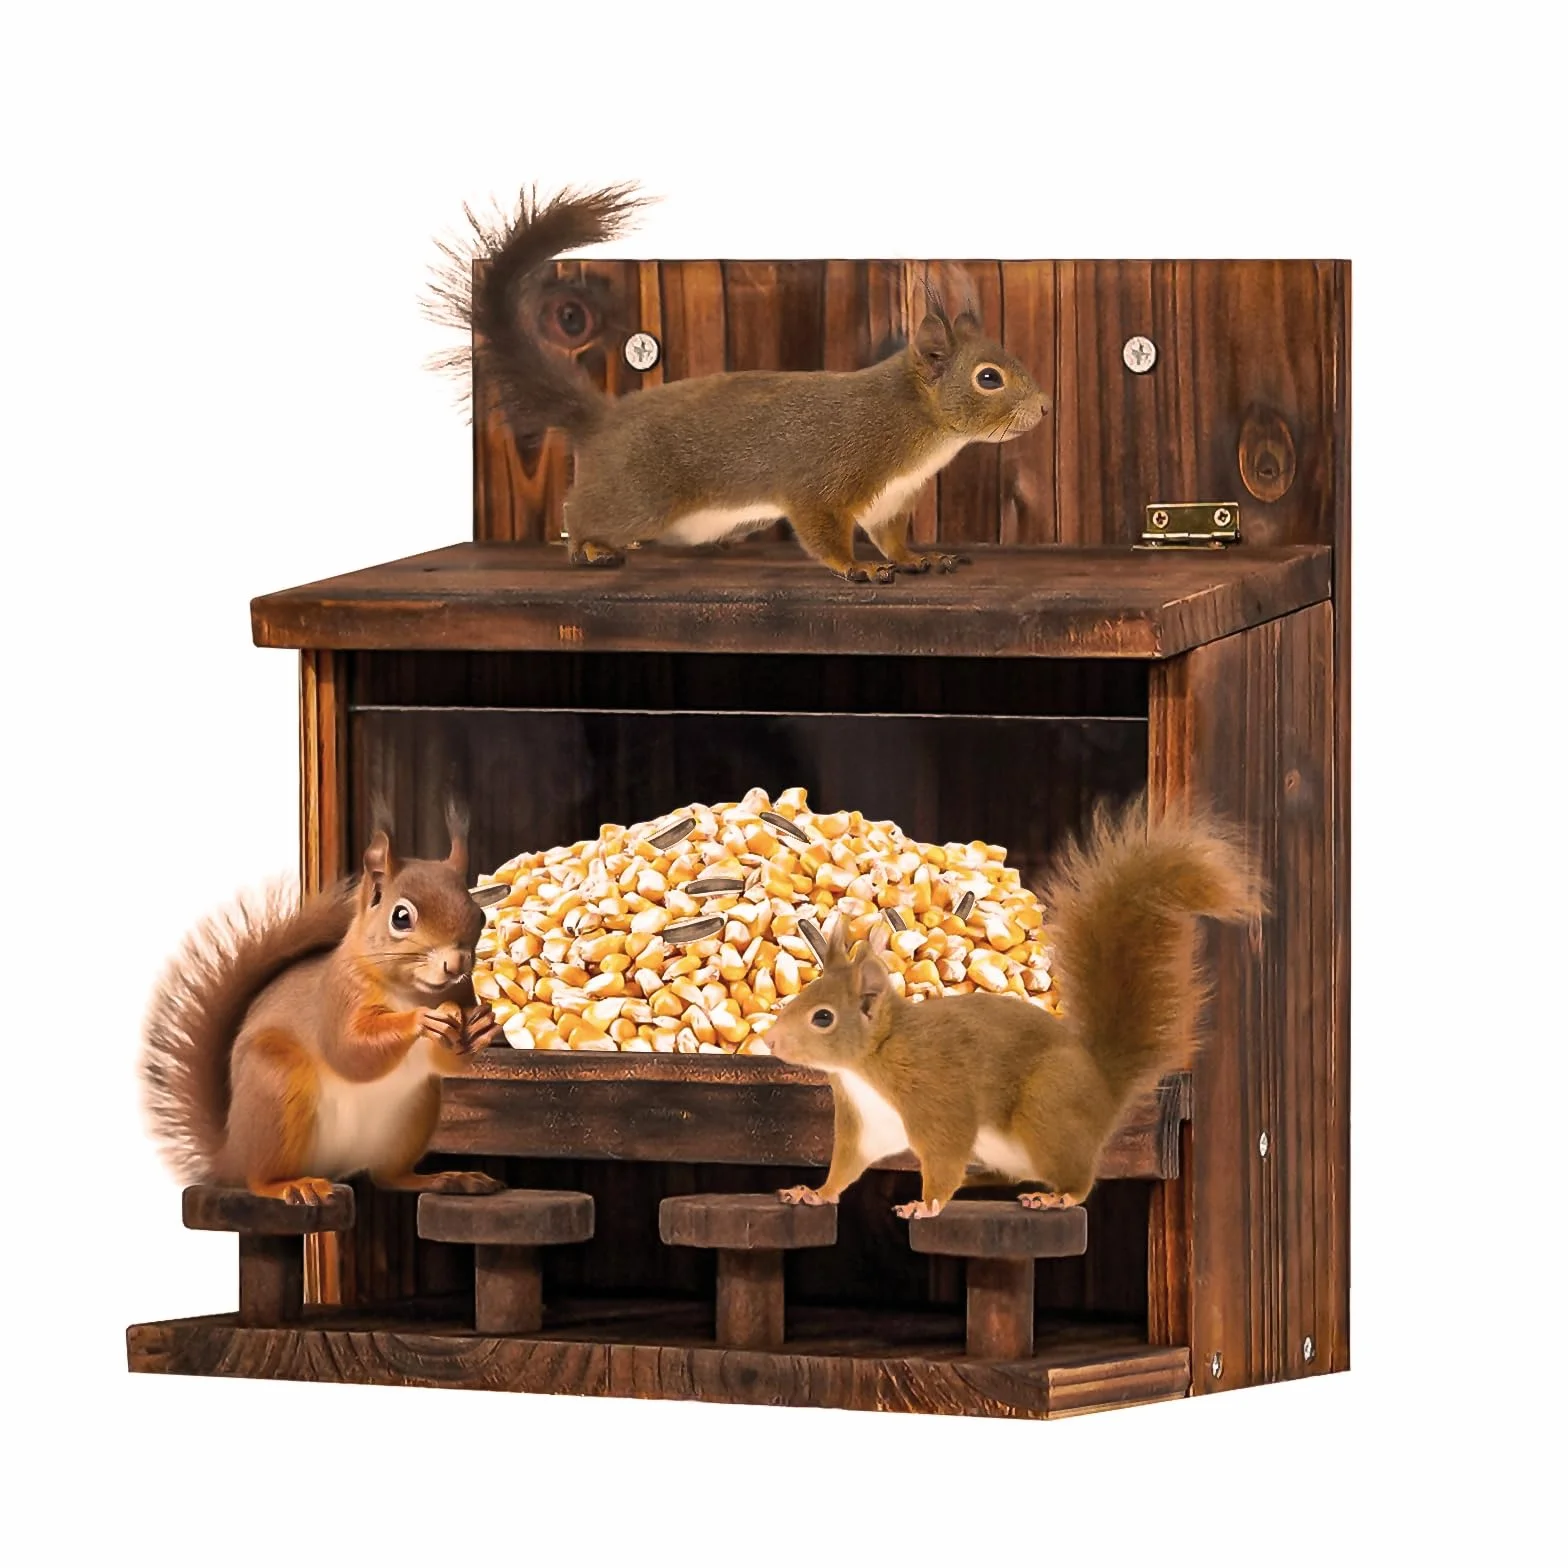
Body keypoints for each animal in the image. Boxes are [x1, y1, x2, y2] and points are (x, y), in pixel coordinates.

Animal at [141, 807, 509, 1205]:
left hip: (415, 1112)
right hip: (275, 1086)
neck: (413, 991)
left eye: (480, 916)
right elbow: (349, 1051)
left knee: (388, 1177)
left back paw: (446, 1178)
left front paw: (483, 1025)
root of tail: (231, 1154)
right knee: (259, 1177)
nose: (455, 965)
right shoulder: (337, 998)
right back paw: (290, 1184)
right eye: (400, 917)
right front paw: (421, 1020)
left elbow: (447, 1062)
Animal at [424, 183, 1050, 583]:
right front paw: (859, 567)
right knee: (578, 511)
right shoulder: (825, 479)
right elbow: (823, 532)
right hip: (637, 496)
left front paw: (920, 558)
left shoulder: (890, 501)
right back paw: (588, 547)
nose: (1045, 408)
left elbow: (891, 535)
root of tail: (602, 421)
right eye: (988, 377)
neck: (915, 425)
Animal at [770, 798, 1266, 1219]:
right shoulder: (865, 1122)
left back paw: (1056, 1198)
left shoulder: (938, 1100)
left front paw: (926, 1206)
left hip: (1047, 1109)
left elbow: (945, 1157)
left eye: (823, 1018)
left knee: (1080, 1179)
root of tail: (1104, 1091)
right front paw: (815, 1193)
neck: (870, 1062)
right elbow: (847, 1167)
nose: (772, 1042)